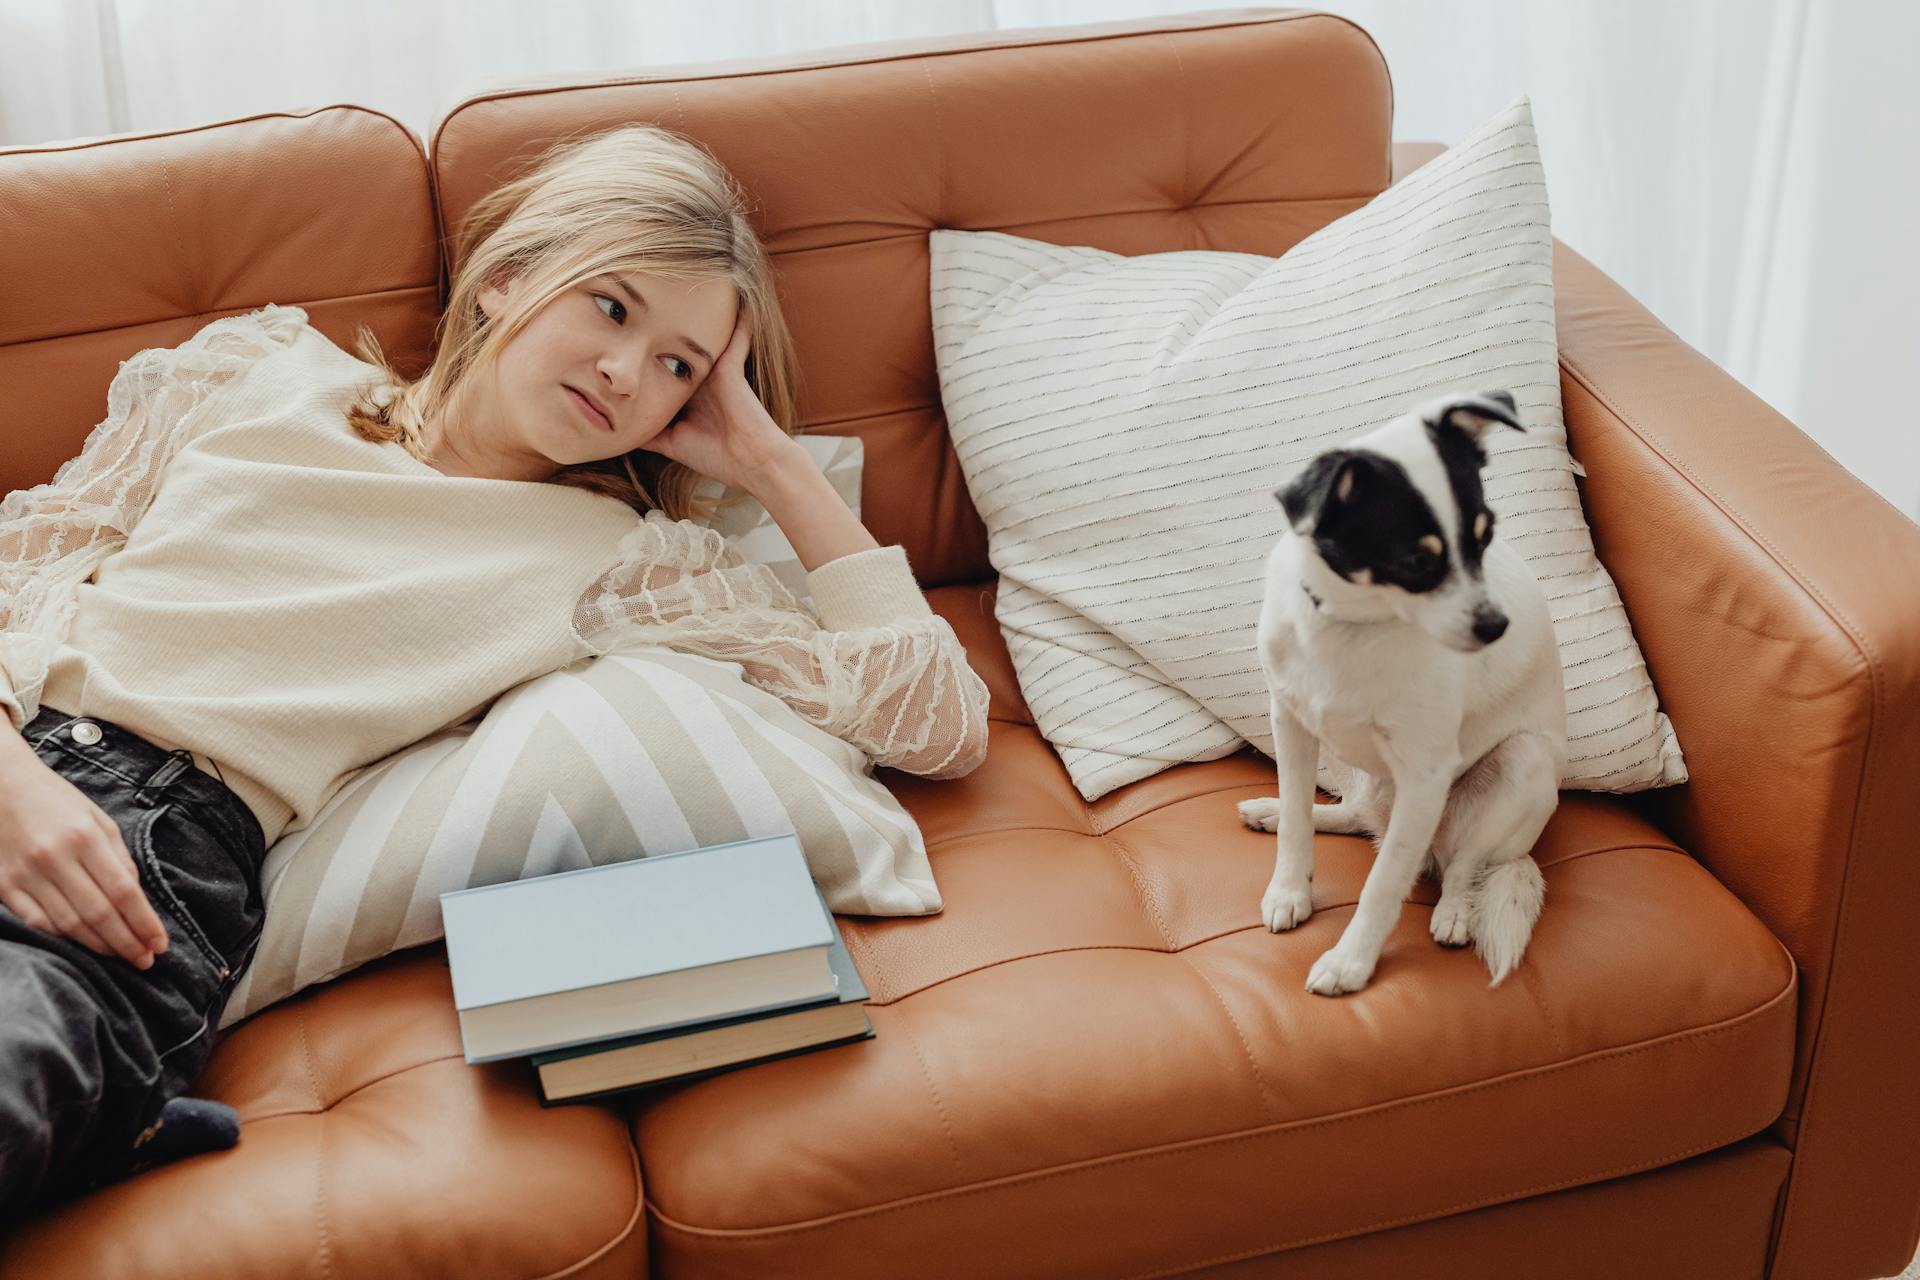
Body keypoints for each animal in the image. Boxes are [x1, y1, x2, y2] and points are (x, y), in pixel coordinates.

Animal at [1236, 391, 1566, 997]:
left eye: (1486, 537)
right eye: (1416, 562)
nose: (1495, 627)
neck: (1353, 623)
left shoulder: (1425, 774)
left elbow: (1383, 884)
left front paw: (1350, 963)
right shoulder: (1290, 723)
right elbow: (1296, 823)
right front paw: (1290, 890)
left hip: (1520, 767)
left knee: (1459, 866)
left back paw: (1455, 912)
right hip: (1364, 778)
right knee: (1351, 816)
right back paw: (1270, 811)